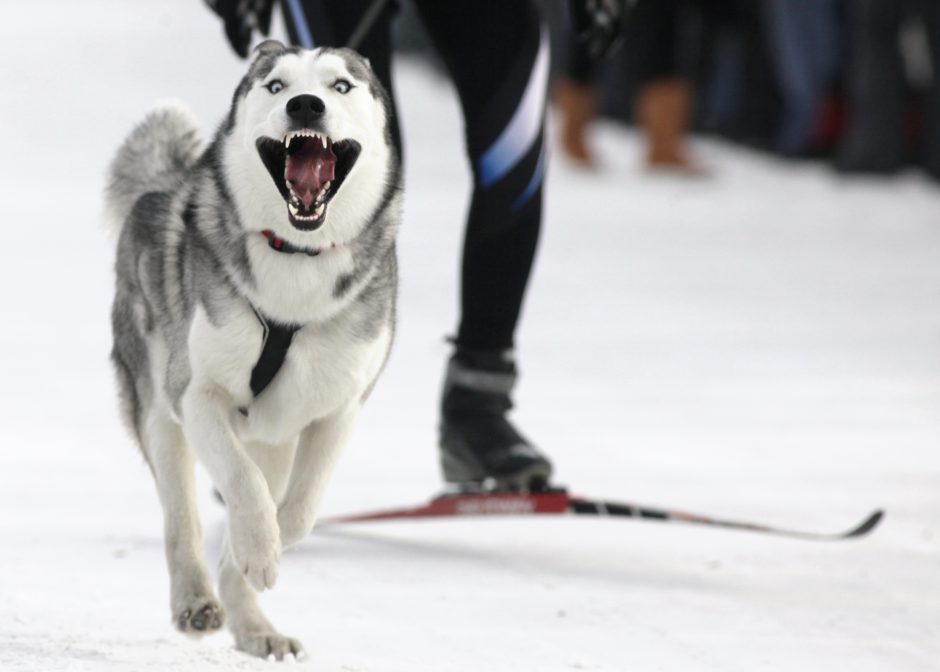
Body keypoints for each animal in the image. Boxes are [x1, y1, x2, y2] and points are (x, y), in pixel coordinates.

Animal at [106, 43, 400, 660]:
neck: (296, 257)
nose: (305, 105)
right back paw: (196, 600)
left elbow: (300, 508)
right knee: (183, 518)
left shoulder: (340, 409)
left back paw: (255, 626)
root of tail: (165, 187)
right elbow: (242, 485)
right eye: (275, 85)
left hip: (275, 438)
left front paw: (260, 555)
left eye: (340, 86)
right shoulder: (197, 395)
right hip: (158, 413)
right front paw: (259, 551)